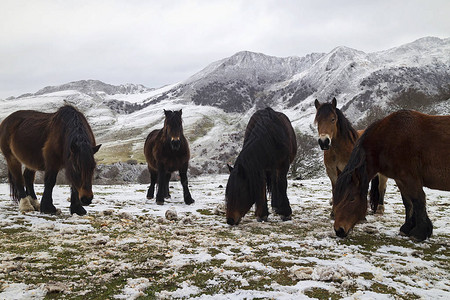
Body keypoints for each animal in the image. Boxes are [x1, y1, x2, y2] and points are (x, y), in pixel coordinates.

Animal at [330, 110, 450, 241]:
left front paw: (420, 232)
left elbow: (418, 201)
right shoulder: (401, 179)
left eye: (352, 198)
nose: (339, 230)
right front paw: (407, 228)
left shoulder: (411, 178)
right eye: (336, 197)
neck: (389, 138)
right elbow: (408, 202)